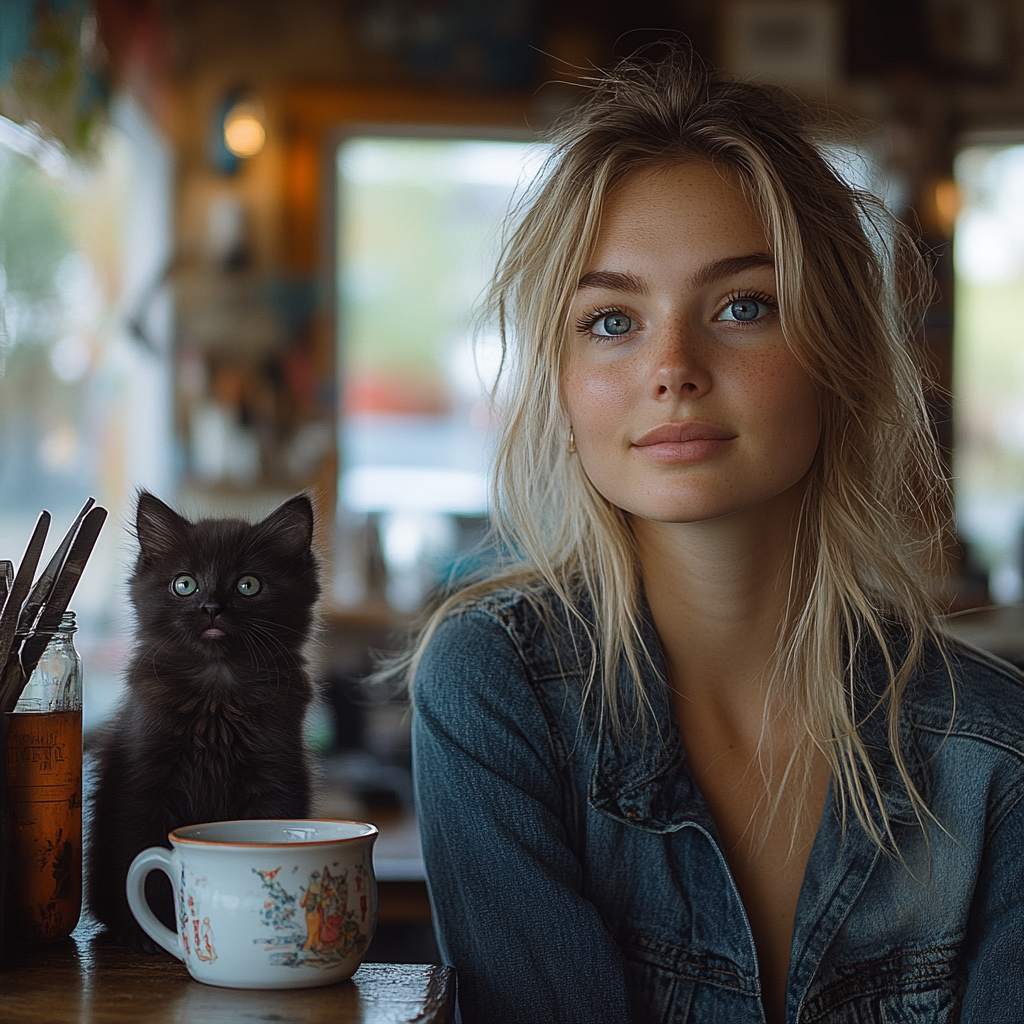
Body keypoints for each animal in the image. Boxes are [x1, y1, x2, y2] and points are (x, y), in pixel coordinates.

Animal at [87, 491, 319, 946]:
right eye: (184, 584)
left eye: (248, 585)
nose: (211, 607)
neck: (216, 694)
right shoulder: (143, 780)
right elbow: (143, 855)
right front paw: (147, 933)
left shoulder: (276, 777)